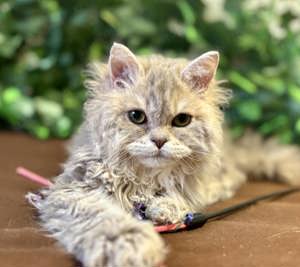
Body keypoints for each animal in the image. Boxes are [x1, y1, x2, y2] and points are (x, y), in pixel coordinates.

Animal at [29, 43, 300, 267]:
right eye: (137, 116)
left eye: (181, 120)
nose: (159, 141)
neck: (146, 180)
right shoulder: (73, 190)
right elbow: (102, 218)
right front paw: (128, 244)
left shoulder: (196, 184)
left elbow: (182, 195)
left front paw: (164, 208)